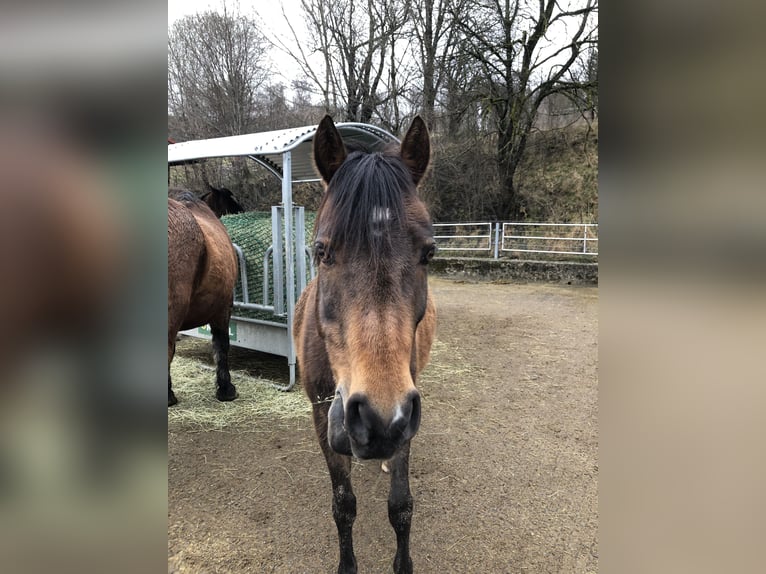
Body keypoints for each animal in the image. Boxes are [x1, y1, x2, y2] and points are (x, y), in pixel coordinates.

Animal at [294, 115, 438, 572]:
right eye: (322, 251)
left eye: (429, 253)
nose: (377, 419)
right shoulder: (322, 417)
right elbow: (343, 505)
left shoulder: (407, 411)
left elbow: (401, 506)